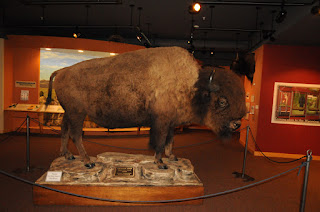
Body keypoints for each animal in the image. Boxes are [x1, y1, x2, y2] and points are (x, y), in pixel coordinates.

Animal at [45, 46, 245, 169]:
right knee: (75, 134)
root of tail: (62, 71)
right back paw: (87, 161)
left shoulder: (171, 122)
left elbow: (170, 140)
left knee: (64, 129)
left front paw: (172, 157)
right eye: (222, 101)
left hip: (68, 112)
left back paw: (67, 155)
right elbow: (160, 141)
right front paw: (161, 163)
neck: (192, 86)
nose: (237, 124)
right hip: (77, 113)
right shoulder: (162, 122)